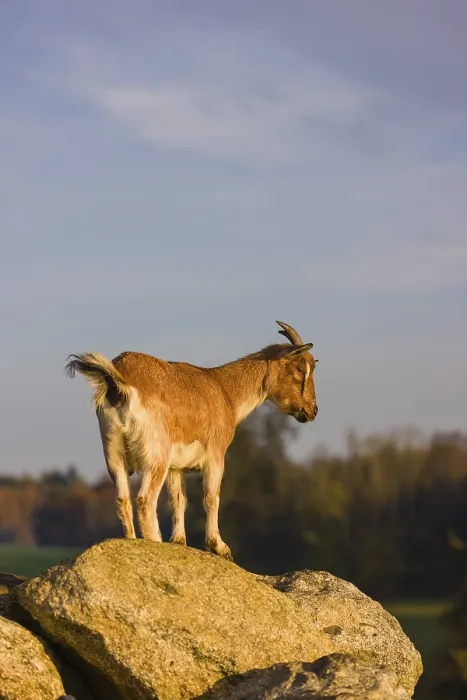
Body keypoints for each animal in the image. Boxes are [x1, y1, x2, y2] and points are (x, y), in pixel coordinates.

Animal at [65, 321, 318, 560]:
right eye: (300, 370)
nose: (312, 410)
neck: (224, 392)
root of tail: (119, 382)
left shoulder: (176, 468)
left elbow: (179, 499)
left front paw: (179, 541)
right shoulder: (215, 455)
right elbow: (211, 497)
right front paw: (220, 547)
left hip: (113, 452)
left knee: (122, 499)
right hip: (155, 455)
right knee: (145, 499)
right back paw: (154, 543)